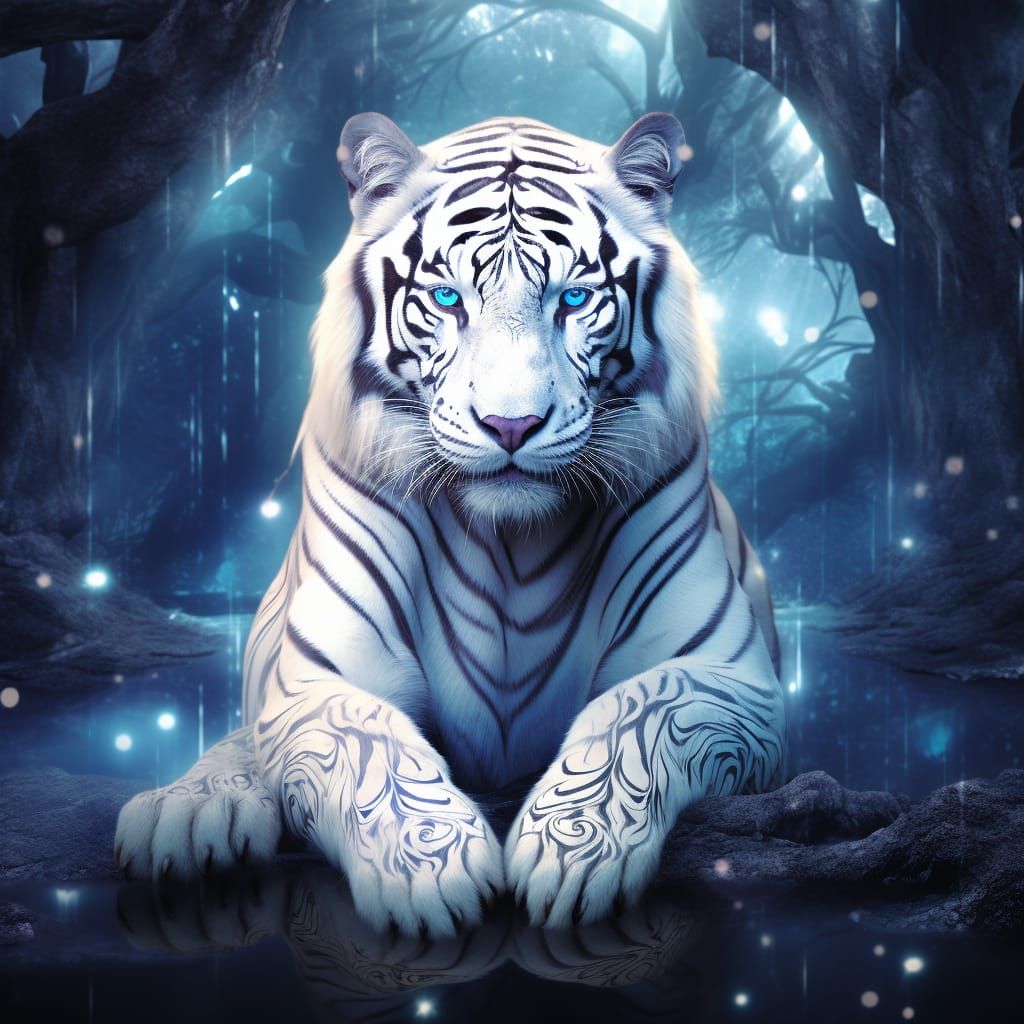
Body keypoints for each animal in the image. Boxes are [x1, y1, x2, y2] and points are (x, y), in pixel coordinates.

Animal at [115, 112, 786, 937]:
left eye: (573, 299)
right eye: (445, 297)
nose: (511, 424)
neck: (512, 542)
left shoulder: (725, 675)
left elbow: (634, 714)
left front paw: (569, 854)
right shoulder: (324, 675)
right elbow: (368, 741)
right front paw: (432, 870)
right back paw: (185, 812)